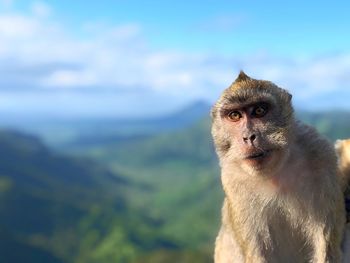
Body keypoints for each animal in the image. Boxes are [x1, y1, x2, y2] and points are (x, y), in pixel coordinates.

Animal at [212, 70, 346, 263]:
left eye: (259, 110)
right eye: (235, 115)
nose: (248, 137)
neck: (274, 173)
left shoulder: (321, 155)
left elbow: (325, 244)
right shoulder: (232, 179)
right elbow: (258, 252)